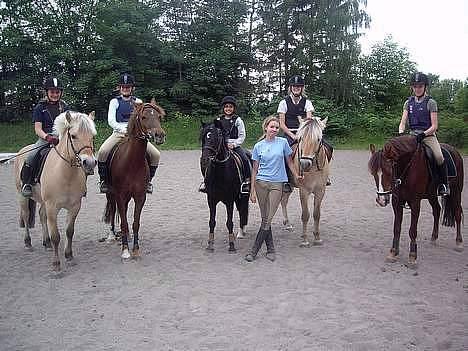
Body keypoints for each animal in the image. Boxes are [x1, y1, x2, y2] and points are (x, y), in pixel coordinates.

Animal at [14, 111, 97, 270]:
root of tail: (22, 150)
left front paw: (69, 256)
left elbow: (69, 232)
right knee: (26, 216)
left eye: (92, 137)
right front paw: (56, 264)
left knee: (41, 215)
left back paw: (46, 243)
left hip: (42, 201)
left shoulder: (74, 206)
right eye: (73, 136)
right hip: (23, 196)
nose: (89, 163)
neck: (66, 174)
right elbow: (56, 236)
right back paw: (28, 242)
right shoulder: (52, 207)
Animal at [103, 98, 165, 258]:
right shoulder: (119, 195)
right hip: (111, 194)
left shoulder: (140, 196)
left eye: (158, 117)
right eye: (143, 117)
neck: (132, 163)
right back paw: (111, 236)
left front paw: (135, 249)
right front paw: (125, 250)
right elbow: (124, 222)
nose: (159, 135)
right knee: (113, 211)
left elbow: (135, 222)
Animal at [199, 119, 250, 252]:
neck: (221, 171)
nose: (204, 160)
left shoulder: (229, 200)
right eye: (203, 137)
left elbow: (229, 222)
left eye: (217, 137)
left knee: (243, 210)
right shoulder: (211, 199)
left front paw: (231, 245)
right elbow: (212, 222)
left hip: (243, 195)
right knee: (241, 210)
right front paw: (210, 244)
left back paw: (241, 231)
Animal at [280, 118, 330, 248]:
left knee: (284, 200)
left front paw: (317, 238)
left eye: (318, 139)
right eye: (301, 138)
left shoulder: (320, 191)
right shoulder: (304, 191)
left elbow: (316, 214)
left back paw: (287, 224)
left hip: (290, 186)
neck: (312, 169)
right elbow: (305, 215)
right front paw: (304, 240)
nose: (304, 164)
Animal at [370, 135, 464, 266]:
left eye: (388, 171)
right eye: (373, 173)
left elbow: (412, 230)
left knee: (457, 213)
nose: (381, 200)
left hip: (456, 192)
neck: (407, 167)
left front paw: (412, 256)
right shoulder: (397, 202)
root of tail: (455, 151)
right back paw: (434, 238)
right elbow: (397, 228)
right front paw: (393, 253)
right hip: (431, 195)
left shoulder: (415, 202)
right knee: (437, 210)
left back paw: (459, 242)